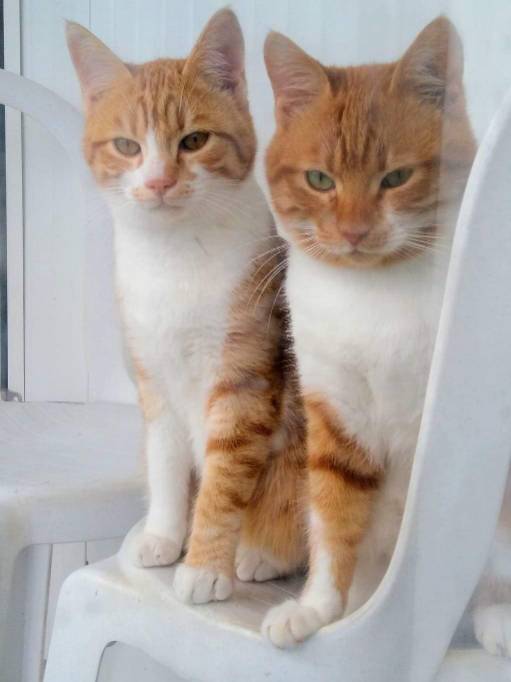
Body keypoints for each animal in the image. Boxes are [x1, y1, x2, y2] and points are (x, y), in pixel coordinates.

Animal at [66, 8, 306, 604]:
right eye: (127, 145)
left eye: (195, 140)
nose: (158, 181)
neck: (172, 259)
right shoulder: (155, 379)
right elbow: (167, 463)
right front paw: (164, 535)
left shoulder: (241, 382)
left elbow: (223, 480)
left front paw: (204, 565)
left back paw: (259, 554)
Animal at [260, 16, 495, 649]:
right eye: (320, 179)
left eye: (397, 177)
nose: (354, 231)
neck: (371, 299)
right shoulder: (337, 416)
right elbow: (333, 517)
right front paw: (318, 609)